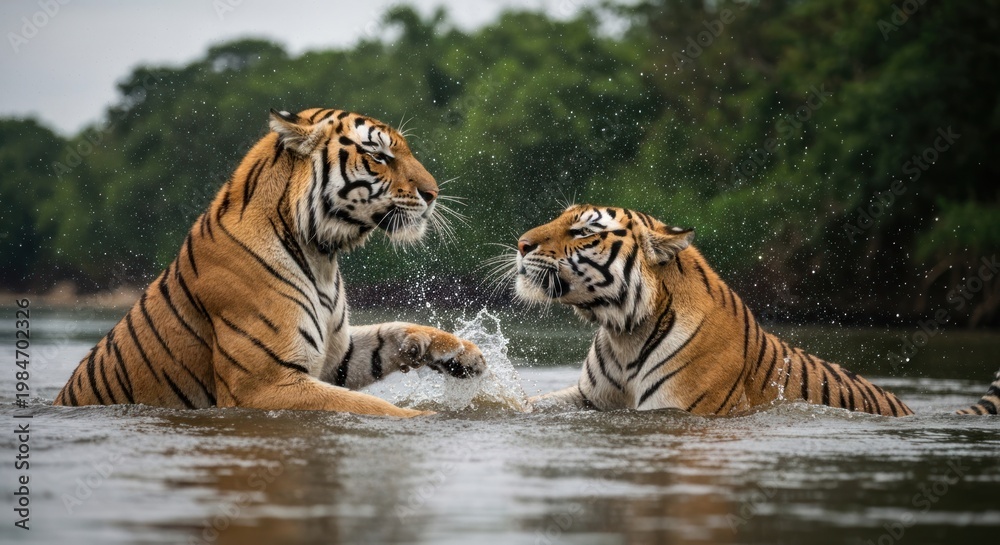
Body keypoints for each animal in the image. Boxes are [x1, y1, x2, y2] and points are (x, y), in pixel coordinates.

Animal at [54, 107, 486, 418]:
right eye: (378, 155)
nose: (433, 193)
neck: (321, 255)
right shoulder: (265, 383)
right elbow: (372, 407)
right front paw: (427, 420)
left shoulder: (337, 355)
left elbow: (395, 332)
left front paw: (465, 355)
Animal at [510, 204, 1000, 417]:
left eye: (582, 231)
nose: (521, 244)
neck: (624, 330)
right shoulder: (587, 400)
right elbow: (529, 405)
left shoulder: (678, 407)